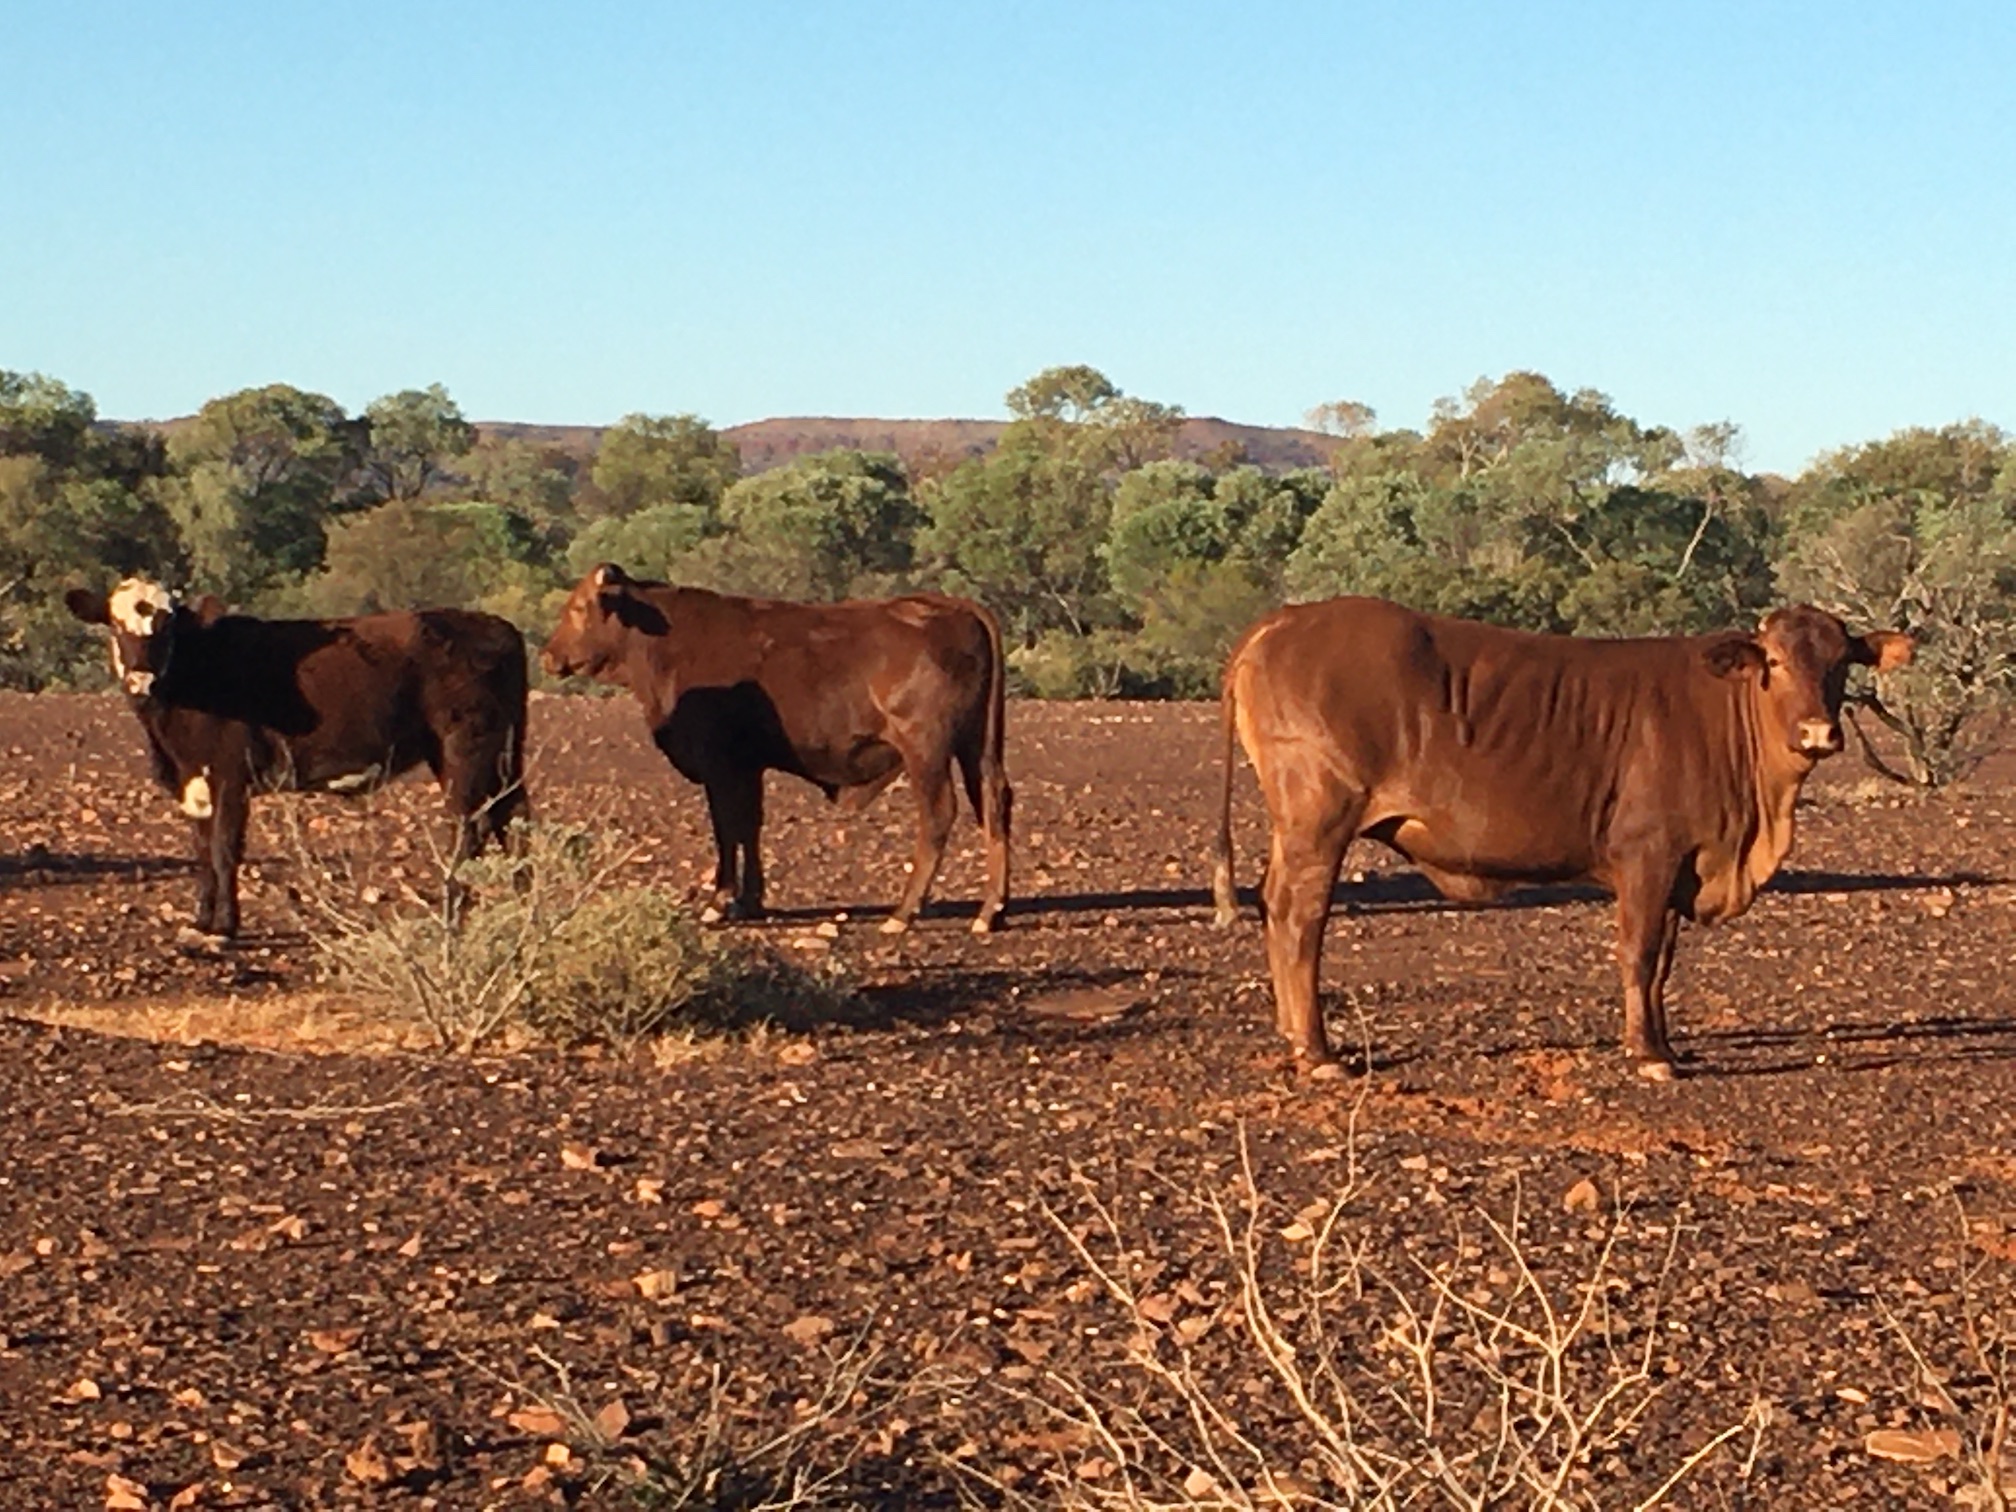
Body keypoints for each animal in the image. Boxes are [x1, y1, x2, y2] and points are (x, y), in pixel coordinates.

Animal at [66, 576, 528, 935]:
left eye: (167, 628)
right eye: (115, 626)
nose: (141, 681)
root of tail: (497, 625)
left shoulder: (231, 776)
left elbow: (223, 848)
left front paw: (226, 926)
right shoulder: (194, 782)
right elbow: (202, 851)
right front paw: (202, 920)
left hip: (465, 749)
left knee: (469, 829)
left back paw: (452, 913)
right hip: (498, 757)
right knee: (512, 821)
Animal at [540, 564, 1008, 931]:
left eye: (579, 608)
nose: (547, 656)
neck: (664, 642)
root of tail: (953, 606)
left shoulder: (721, 767)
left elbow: (727, 829)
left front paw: (719, 902)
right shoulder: (748, 768)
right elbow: (749, 827)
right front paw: (749, 899)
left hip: (926, 750)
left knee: (939, 814)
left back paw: (904, 912)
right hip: (977, 749)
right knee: (994, 805)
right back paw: (990, 911)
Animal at [1209, 596, 1903, 1080]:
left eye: (1841, 664)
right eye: (1777, 663)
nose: (1818, 732)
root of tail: (1287, 618)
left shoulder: (1679, 865)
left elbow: (1662, 964)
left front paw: (1668, 1044)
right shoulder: (1646, 855)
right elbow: (1639, 954)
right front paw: (1647, 1054)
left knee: (1274, 904)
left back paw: (1292, 1036)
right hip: (1319, 819)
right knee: (1300, 917)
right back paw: (1319, 1051)